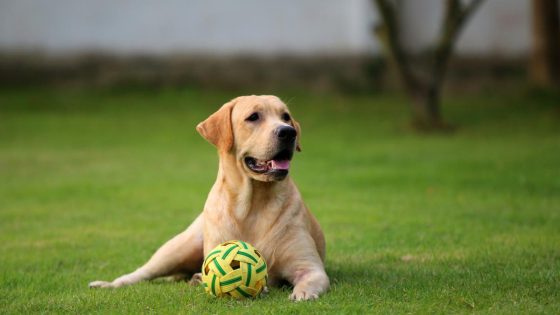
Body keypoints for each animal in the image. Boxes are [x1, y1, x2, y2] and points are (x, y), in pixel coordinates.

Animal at [89, 94, 330, 302]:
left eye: (286, 116)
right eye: (253, 117)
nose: (288, 132)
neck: (253, 204)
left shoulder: (310, 267)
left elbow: (309, 279)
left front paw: (302, 293)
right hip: (177, 248)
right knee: (141, 273)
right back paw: (109, 284)